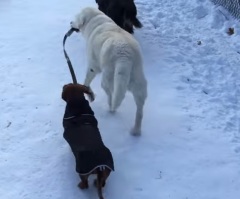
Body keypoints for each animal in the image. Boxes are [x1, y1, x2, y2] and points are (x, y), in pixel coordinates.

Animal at [70, 7, 147, 135]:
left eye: (76, 18)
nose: (70, 22)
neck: (96, 20)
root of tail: (125, 56)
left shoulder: (93, 66)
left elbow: (86, 80)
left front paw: (86, 91)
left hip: (107, 80)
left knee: (111, 96)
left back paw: (110, 109)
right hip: (138, 83)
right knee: (140, 111)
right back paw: (136, 131)